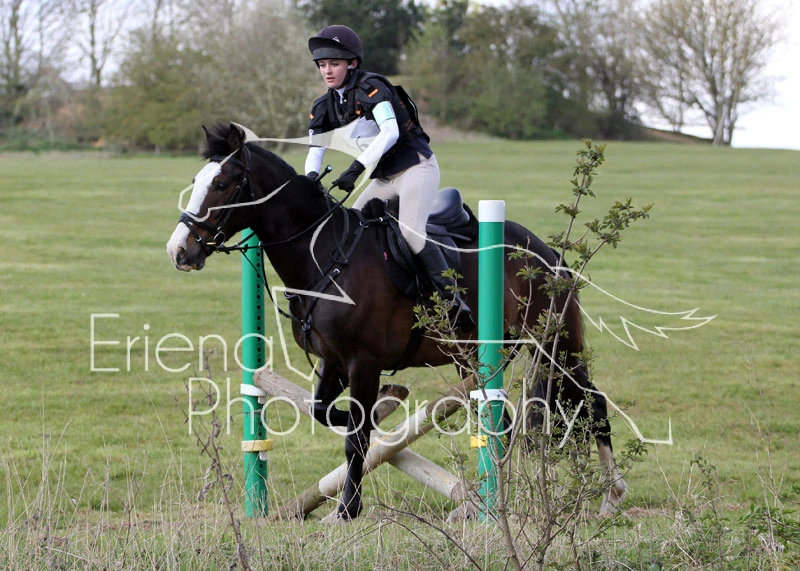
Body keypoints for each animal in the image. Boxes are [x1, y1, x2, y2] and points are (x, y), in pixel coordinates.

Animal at [166, 122, 626, 521]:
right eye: (196, 179)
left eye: (222, 184)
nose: (179, 251)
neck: (324, 255)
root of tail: (545, 251)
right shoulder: (334, 362)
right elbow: (325, 413)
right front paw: (388, 403)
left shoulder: (363, 363)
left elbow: (357, 438)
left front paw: (347, 509)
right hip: (473, 358)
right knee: (504, 420)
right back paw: (490, 500)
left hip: (557, 346)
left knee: (593, 403)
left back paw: (611, 496)